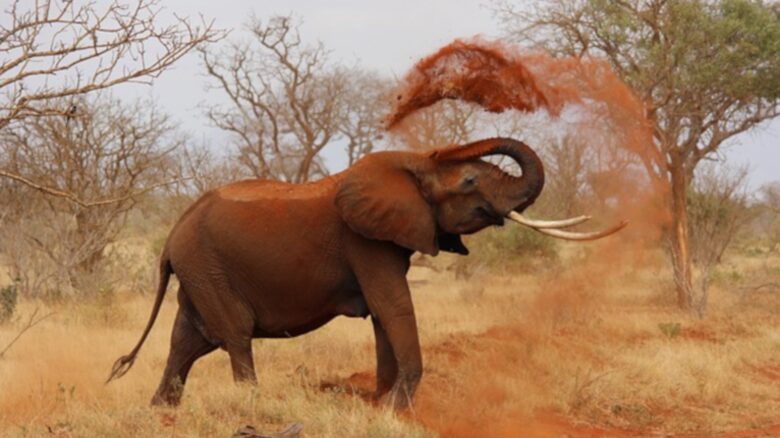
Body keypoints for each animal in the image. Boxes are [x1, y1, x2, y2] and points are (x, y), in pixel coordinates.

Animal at [107, 137, 624, 408]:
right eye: (471, 180)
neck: (413, 164)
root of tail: (172, 235)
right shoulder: (366, 242)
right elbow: (393, 306)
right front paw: (396, 408)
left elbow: (383, 315)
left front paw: (382, 403)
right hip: (206, 266)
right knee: (233, 334)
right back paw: (251, 404)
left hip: (199, 270)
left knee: (188, 340)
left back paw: (161, 412)